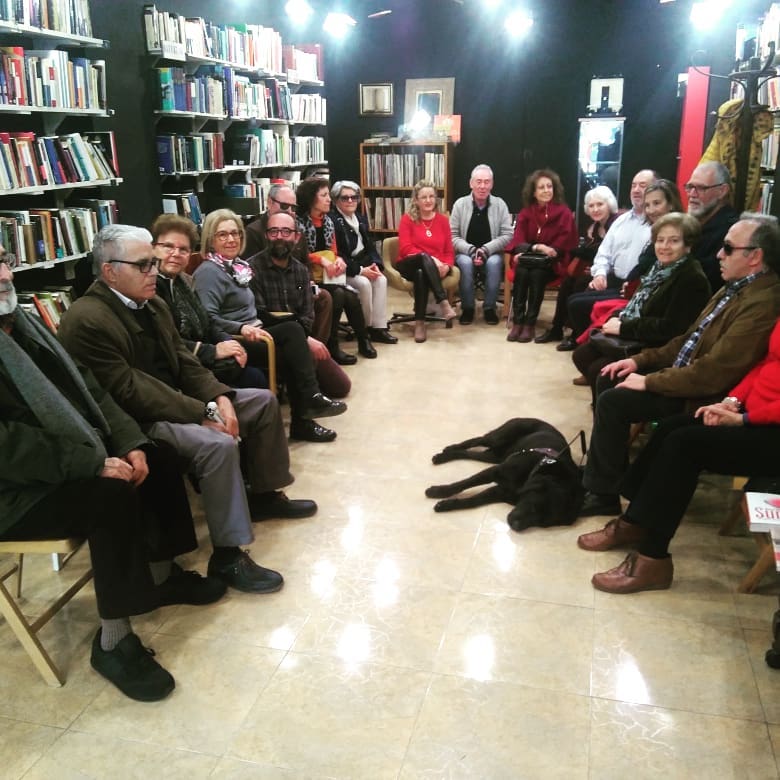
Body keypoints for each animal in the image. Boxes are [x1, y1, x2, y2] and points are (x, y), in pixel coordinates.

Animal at [426, 418, 584, 532]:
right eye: (534, 506)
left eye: (542, 523)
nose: (516, 527)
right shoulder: (495, 472)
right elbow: (464, 484)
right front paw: (437, 491)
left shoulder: (501, 491)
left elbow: (474, 501)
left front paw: (446, 505)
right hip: (499, 436)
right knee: (477, 440)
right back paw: (447, 451)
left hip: (493, 456)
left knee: (470, 453)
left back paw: (448, 454)